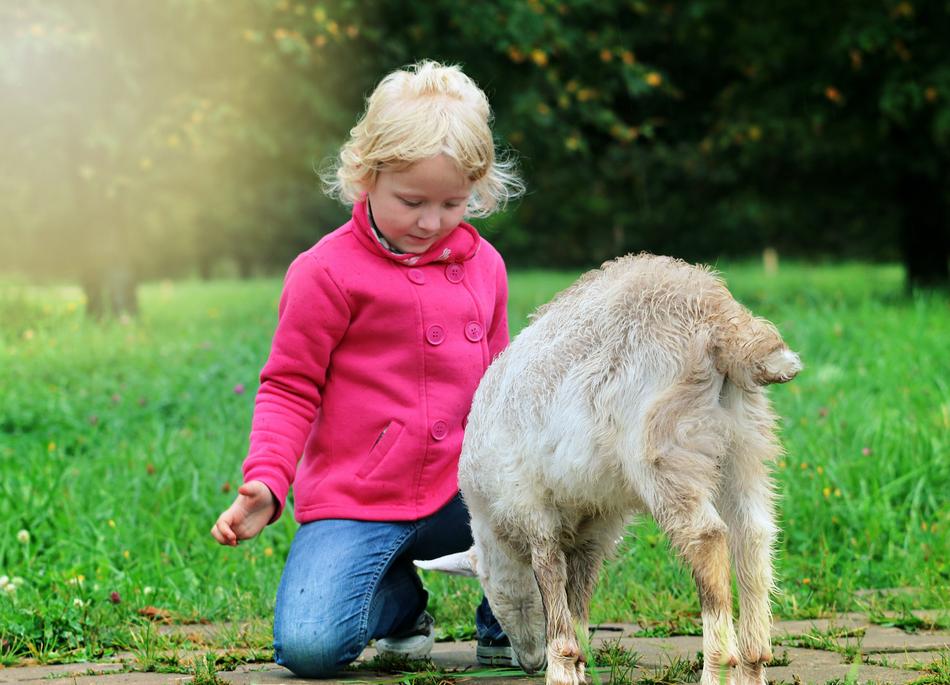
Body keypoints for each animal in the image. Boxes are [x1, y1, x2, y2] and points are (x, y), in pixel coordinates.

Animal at [418, 253, 802, 685]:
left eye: (493, 597)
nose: (529, 663)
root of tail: (718, 316)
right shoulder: (596, 520)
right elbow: (579, 592)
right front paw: (579, 663)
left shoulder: (529, 504)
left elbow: (551, 580)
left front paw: (561, 666)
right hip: (743, 442)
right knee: (752, 534)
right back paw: (753, 661)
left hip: (664, 447)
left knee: (707, 537)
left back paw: (718, 667)